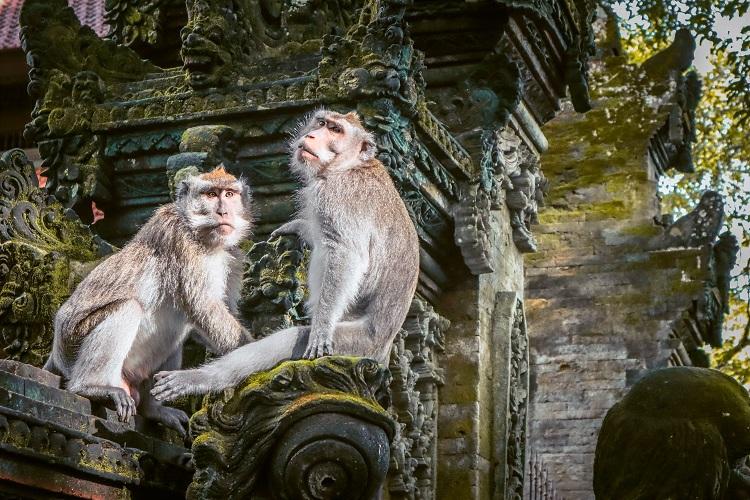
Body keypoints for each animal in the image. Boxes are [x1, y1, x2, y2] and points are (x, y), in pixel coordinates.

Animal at [44, 166, 253, 432]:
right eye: (210, 194)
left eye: (229, 194)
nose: (223, 211)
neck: (204, 238)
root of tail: (54, 354)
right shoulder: (180, 239)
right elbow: (203, 306)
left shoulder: (234, 256)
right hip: (72, 345)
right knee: (129, 307)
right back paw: (91, 387)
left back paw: (152, 409)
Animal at [150, 109, 420, 401]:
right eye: (321, 123)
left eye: (335, 130)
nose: (311, 136)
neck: (349, 166)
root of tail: (382, 353)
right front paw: (297, 227)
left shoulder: (337, 195)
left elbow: (345, 254)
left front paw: (321, 327)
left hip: (359, 343)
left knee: (293, 338)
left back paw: (203, 379)